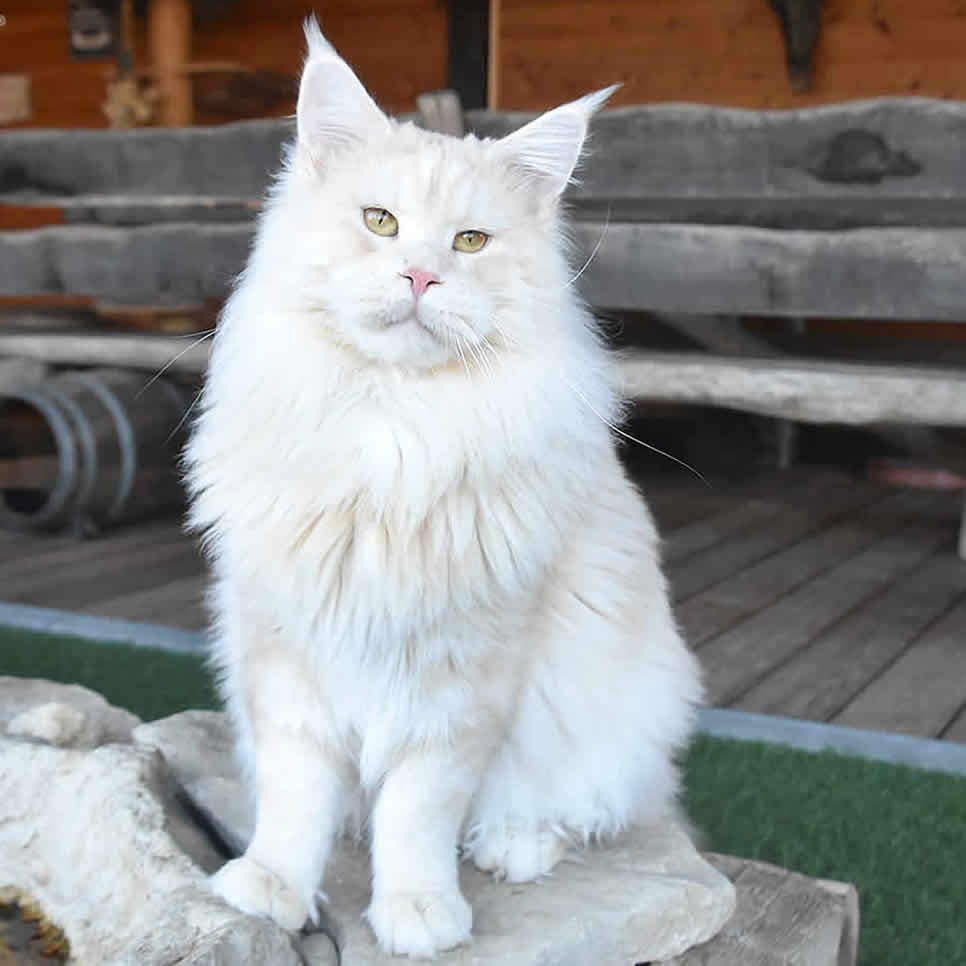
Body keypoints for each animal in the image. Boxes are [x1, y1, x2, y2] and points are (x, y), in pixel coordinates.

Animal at [185, 18, 708, 964]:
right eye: (381, 223)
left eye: (469, 243)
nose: (421, 277)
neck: (395, 433)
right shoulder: (287, 664)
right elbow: (296, 796)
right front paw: (271, 887)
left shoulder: (461, 688)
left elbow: (419, 814)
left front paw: (419, 912)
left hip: (615, 716)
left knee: (578, 807)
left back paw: (514, 845)